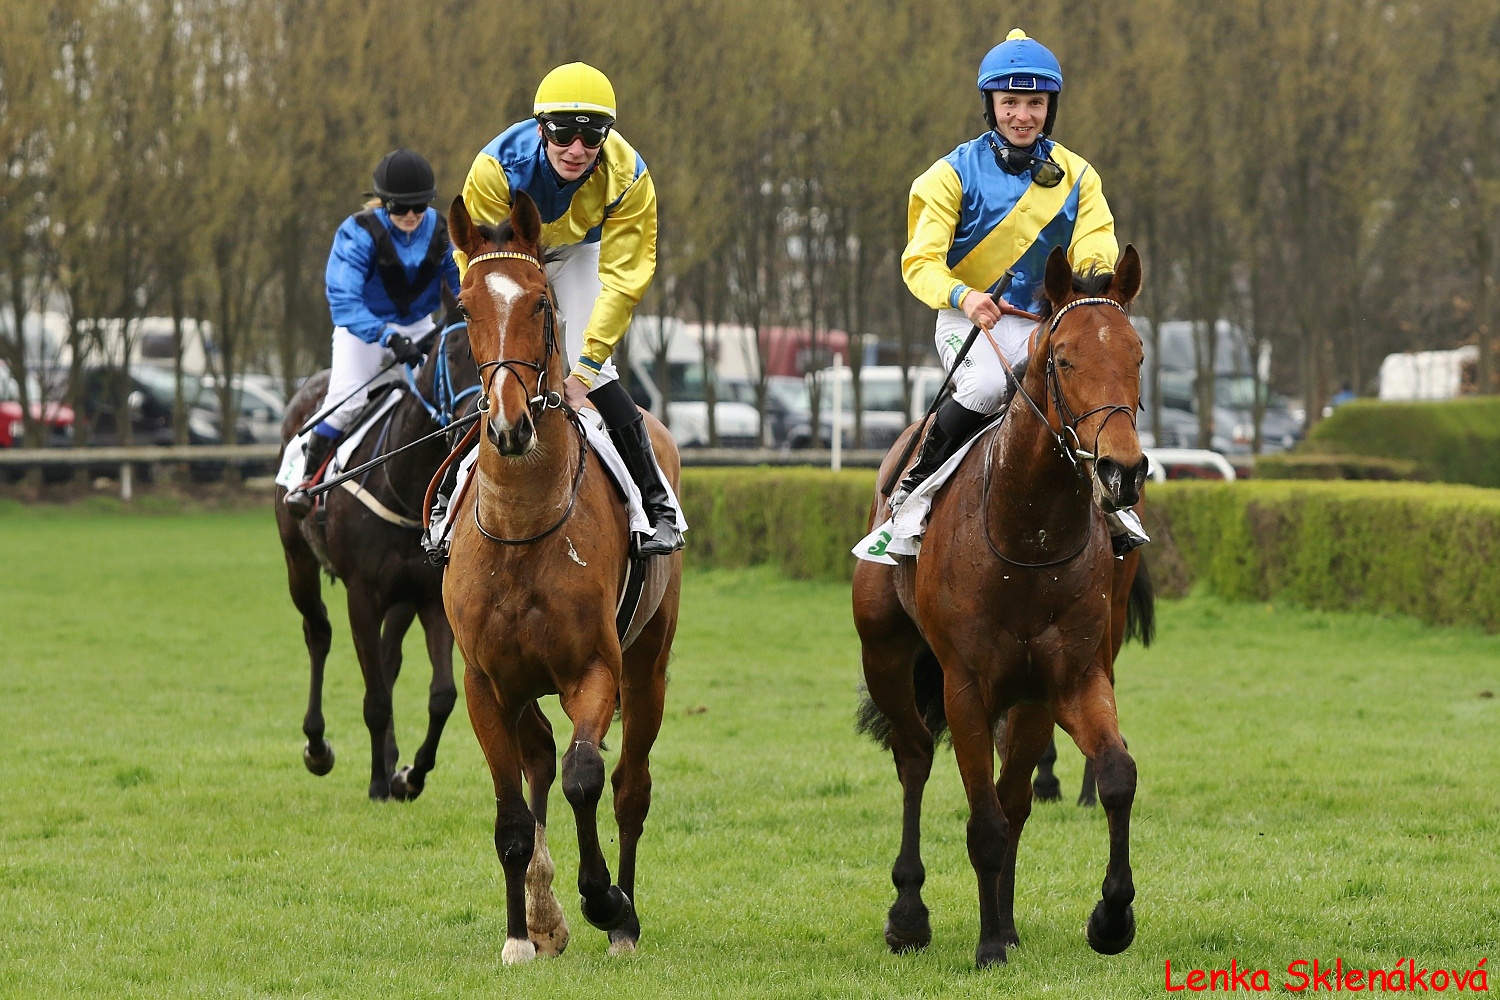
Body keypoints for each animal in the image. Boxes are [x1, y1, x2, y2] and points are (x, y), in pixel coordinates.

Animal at [273, 308, 477, 803]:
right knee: (318, 633)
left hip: (401, 597)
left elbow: (441, 695)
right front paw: (379, 783)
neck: (405, 482)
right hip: (298, 561)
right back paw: (317, 746)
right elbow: (376, 700)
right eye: (450, 357)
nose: (470, 424)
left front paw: (409, 775)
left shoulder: (431, 597)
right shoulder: (362, 595)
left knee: (388, 660)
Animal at [441, 191, 684, 965]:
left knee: (628, 785)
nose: (510, 425)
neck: (523, 528)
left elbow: (586, 777)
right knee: (540, 762)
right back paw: (544, 915)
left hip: (649, 664)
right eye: (464, 307)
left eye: (543, 304)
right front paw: (523, 933)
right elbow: (513, 814)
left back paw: (625, 920)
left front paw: (604, 899)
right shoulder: (486, 682)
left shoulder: (594, 669)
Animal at [852, 244, 1152, 971]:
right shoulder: (965, 683)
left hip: (1028, 696)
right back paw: (909, 915)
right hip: (887, 654)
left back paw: (1008, 918)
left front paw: (1110, 918)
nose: (1122, 471)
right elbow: (982, 817)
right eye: (1064, 358)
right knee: (913, 757)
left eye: (1136, 355)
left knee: (1013, 793)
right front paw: (987, 943)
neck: (1027, 533)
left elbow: (1113, 776)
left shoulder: (1067, 678)